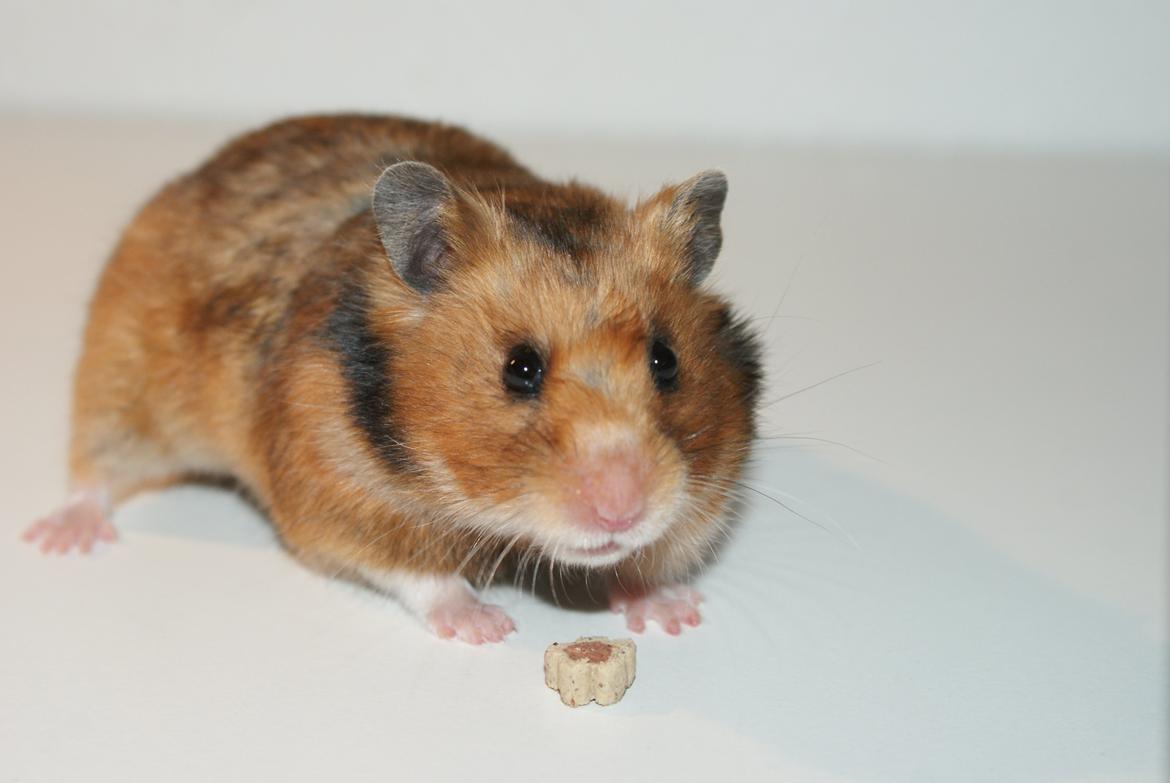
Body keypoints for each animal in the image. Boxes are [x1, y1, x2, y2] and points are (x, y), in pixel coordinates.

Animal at [23, 115, 762, 644]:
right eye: (519, 369)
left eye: (666, 360)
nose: (622, 511)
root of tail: (207, 166)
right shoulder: (334, 496)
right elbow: (421, 572)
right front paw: (488, 629)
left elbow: (642, 562)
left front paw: (676, 613)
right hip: (124, 379)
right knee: (95, 467)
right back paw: (59, 538)